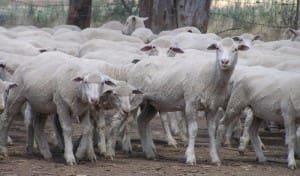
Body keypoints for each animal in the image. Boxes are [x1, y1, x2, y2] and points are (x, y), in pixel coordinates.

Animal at [126, 37, 248, 165]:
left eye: (235, 49)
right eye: (217, 48)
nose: (224, 62)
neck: (210, 75)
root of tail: (137, 64)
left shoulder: (212, 107)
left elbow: (211, 131)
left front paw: (215, 158)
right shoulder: (191, 103)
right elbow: (193, 130)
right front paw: (190, 157)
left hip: (151, 103)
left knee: (142, 121)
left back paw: (149, 153)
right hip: (135, 99)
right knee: (129, 121)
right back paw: (128, 148)